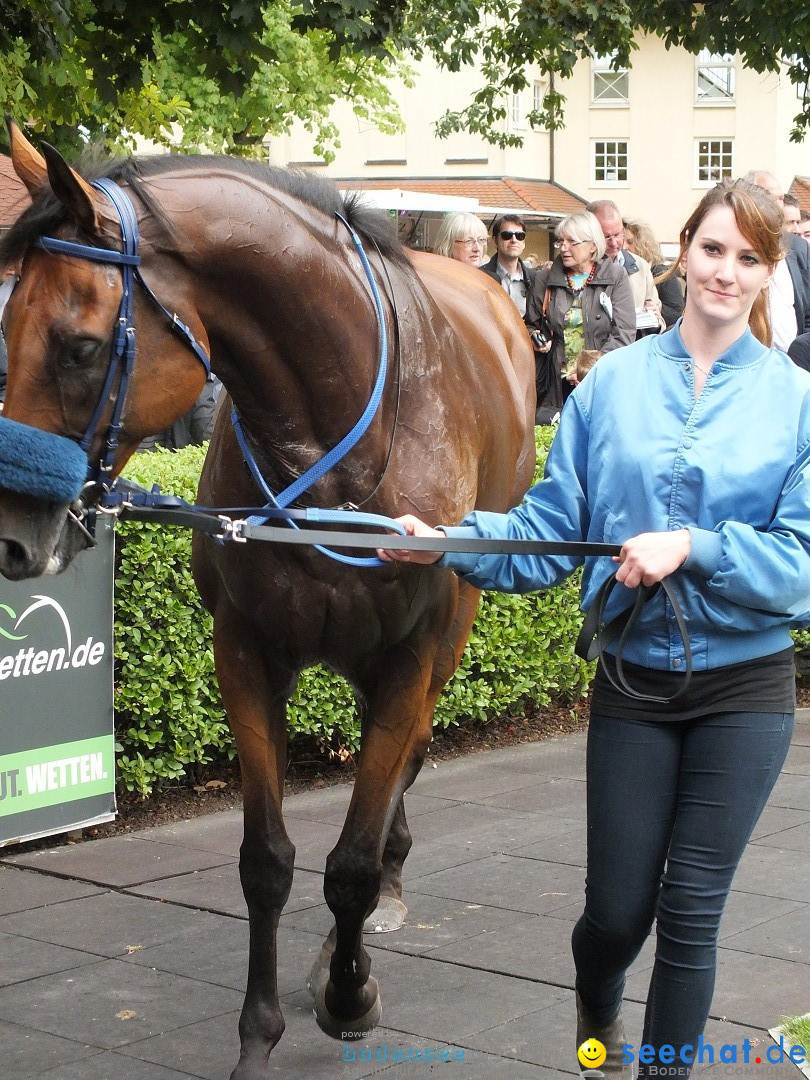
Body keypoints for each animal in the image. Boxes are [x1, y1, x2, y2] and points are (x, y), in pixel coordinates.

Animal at [0, 120, 535, 1080]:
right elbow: (266, 861)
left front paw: (350, 993)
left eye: (80, 345)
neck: (336, 448)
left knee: (407, 762)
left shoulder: (408, 655)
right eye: (1, 327)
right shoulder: (246, 652)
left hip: (448, 639)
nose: (13, 536)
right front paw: (260, 1032)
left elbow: (350, 862)